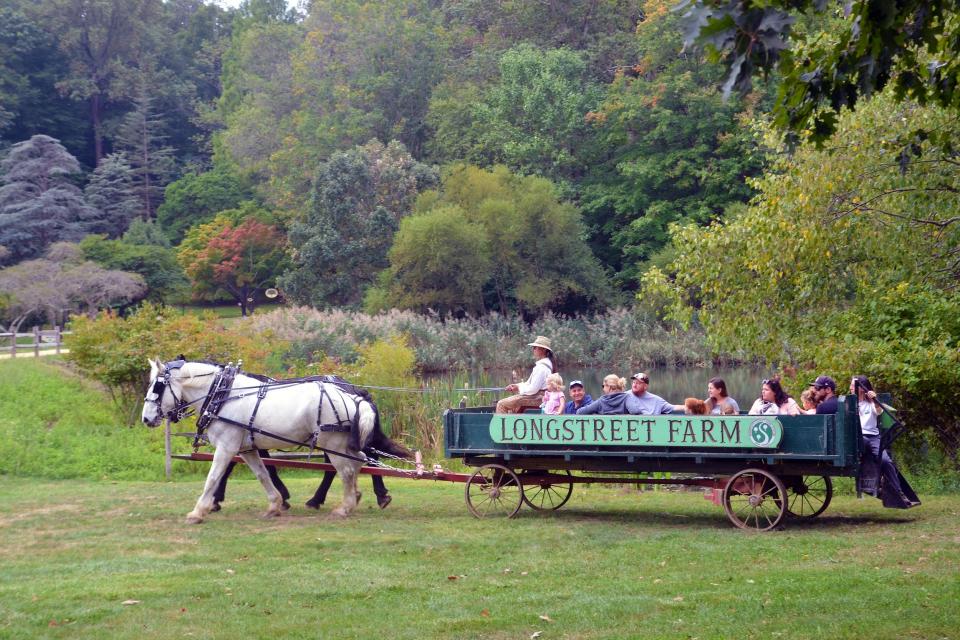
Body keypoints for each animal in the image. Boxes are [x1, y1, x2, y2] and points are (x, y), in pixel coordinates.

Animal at [142, 358, 404, 524]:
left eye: (158, 386)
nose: (146, 418)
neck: (223, 395)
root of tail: (353, 395)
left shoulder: (227, 446)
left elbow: (214, 477)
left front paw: (199, 511)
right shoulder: (247, 448)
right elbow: (262, 474)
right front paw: (275, 504)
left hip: (333, 444)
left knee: (348, 469)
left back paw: (344, 506)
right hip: (340, 444)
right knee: (359, 461)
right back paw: (355, 497)